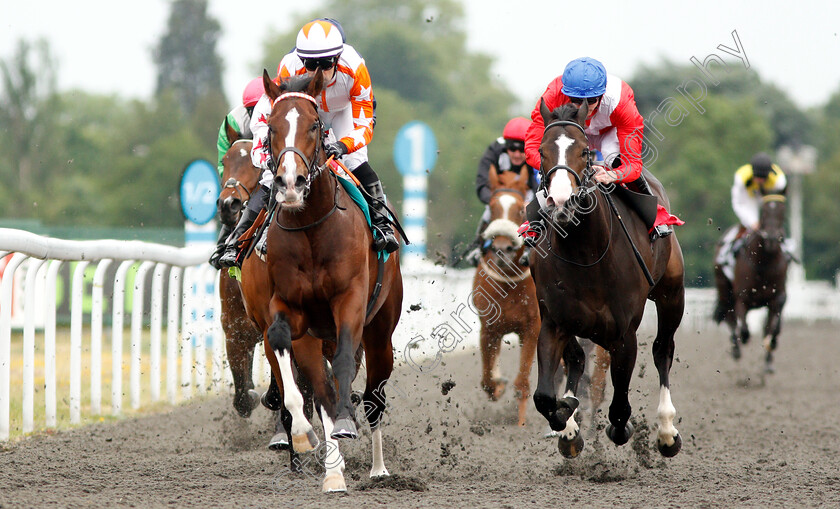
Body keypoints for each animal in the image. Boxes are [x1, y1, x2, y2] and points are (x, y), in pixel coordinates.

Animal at [472, 164, 540, 424]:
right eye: (492, 207)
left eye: (521, 209)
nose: (502, 249)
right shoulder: (489, 328)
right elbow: (487, 381)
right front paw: (499, 385)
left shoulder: (532, 328)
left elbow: (522, 384)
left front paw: (520, 425)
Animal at [528, 101, 684, 458]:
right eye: (542, 151)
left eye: (585, 152)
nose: (562, 202)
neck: (586, 255)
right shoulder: (554, 321)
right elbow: (545, 397)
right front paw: (567, 423)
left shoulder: (624, 333)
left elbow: (620, 409)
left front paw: (620, 427)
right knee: (576, 358)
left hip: (672, 293)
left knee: (663, 349)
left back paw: (667, 431)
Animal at [716, 192, 788, 372]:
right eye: (764, 211)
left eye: (783, 211)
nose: (771, 239)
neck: (764, 263)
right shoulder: (742, 298)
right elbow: (744, 330)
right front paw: (742, 340)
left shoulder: (778, 297)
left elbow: (773, 328)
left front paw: (771, 348)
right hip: (724, 290)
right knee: (730, 318)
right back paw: (736, 348)